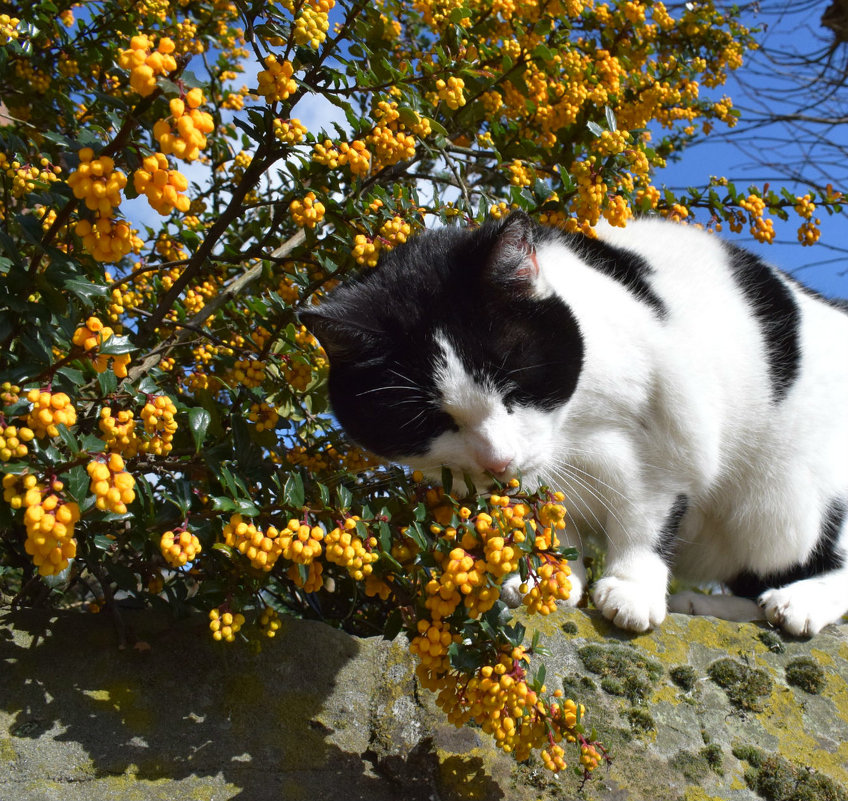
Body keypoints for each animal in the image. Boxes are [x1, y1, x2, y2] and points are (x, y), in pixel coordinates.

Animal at [300, 212, 848, 636]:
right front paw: (552, 581)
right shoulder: (532, 482)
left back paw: (796, 603)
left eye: (515, 388)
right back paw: (713, 606)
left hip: (786, 501)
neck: (573, 430)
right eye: (431, 420)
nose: (497, 459)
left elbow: (644, 519)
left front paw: (631, 588)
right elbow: (552, 525)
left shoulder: (668, 445)